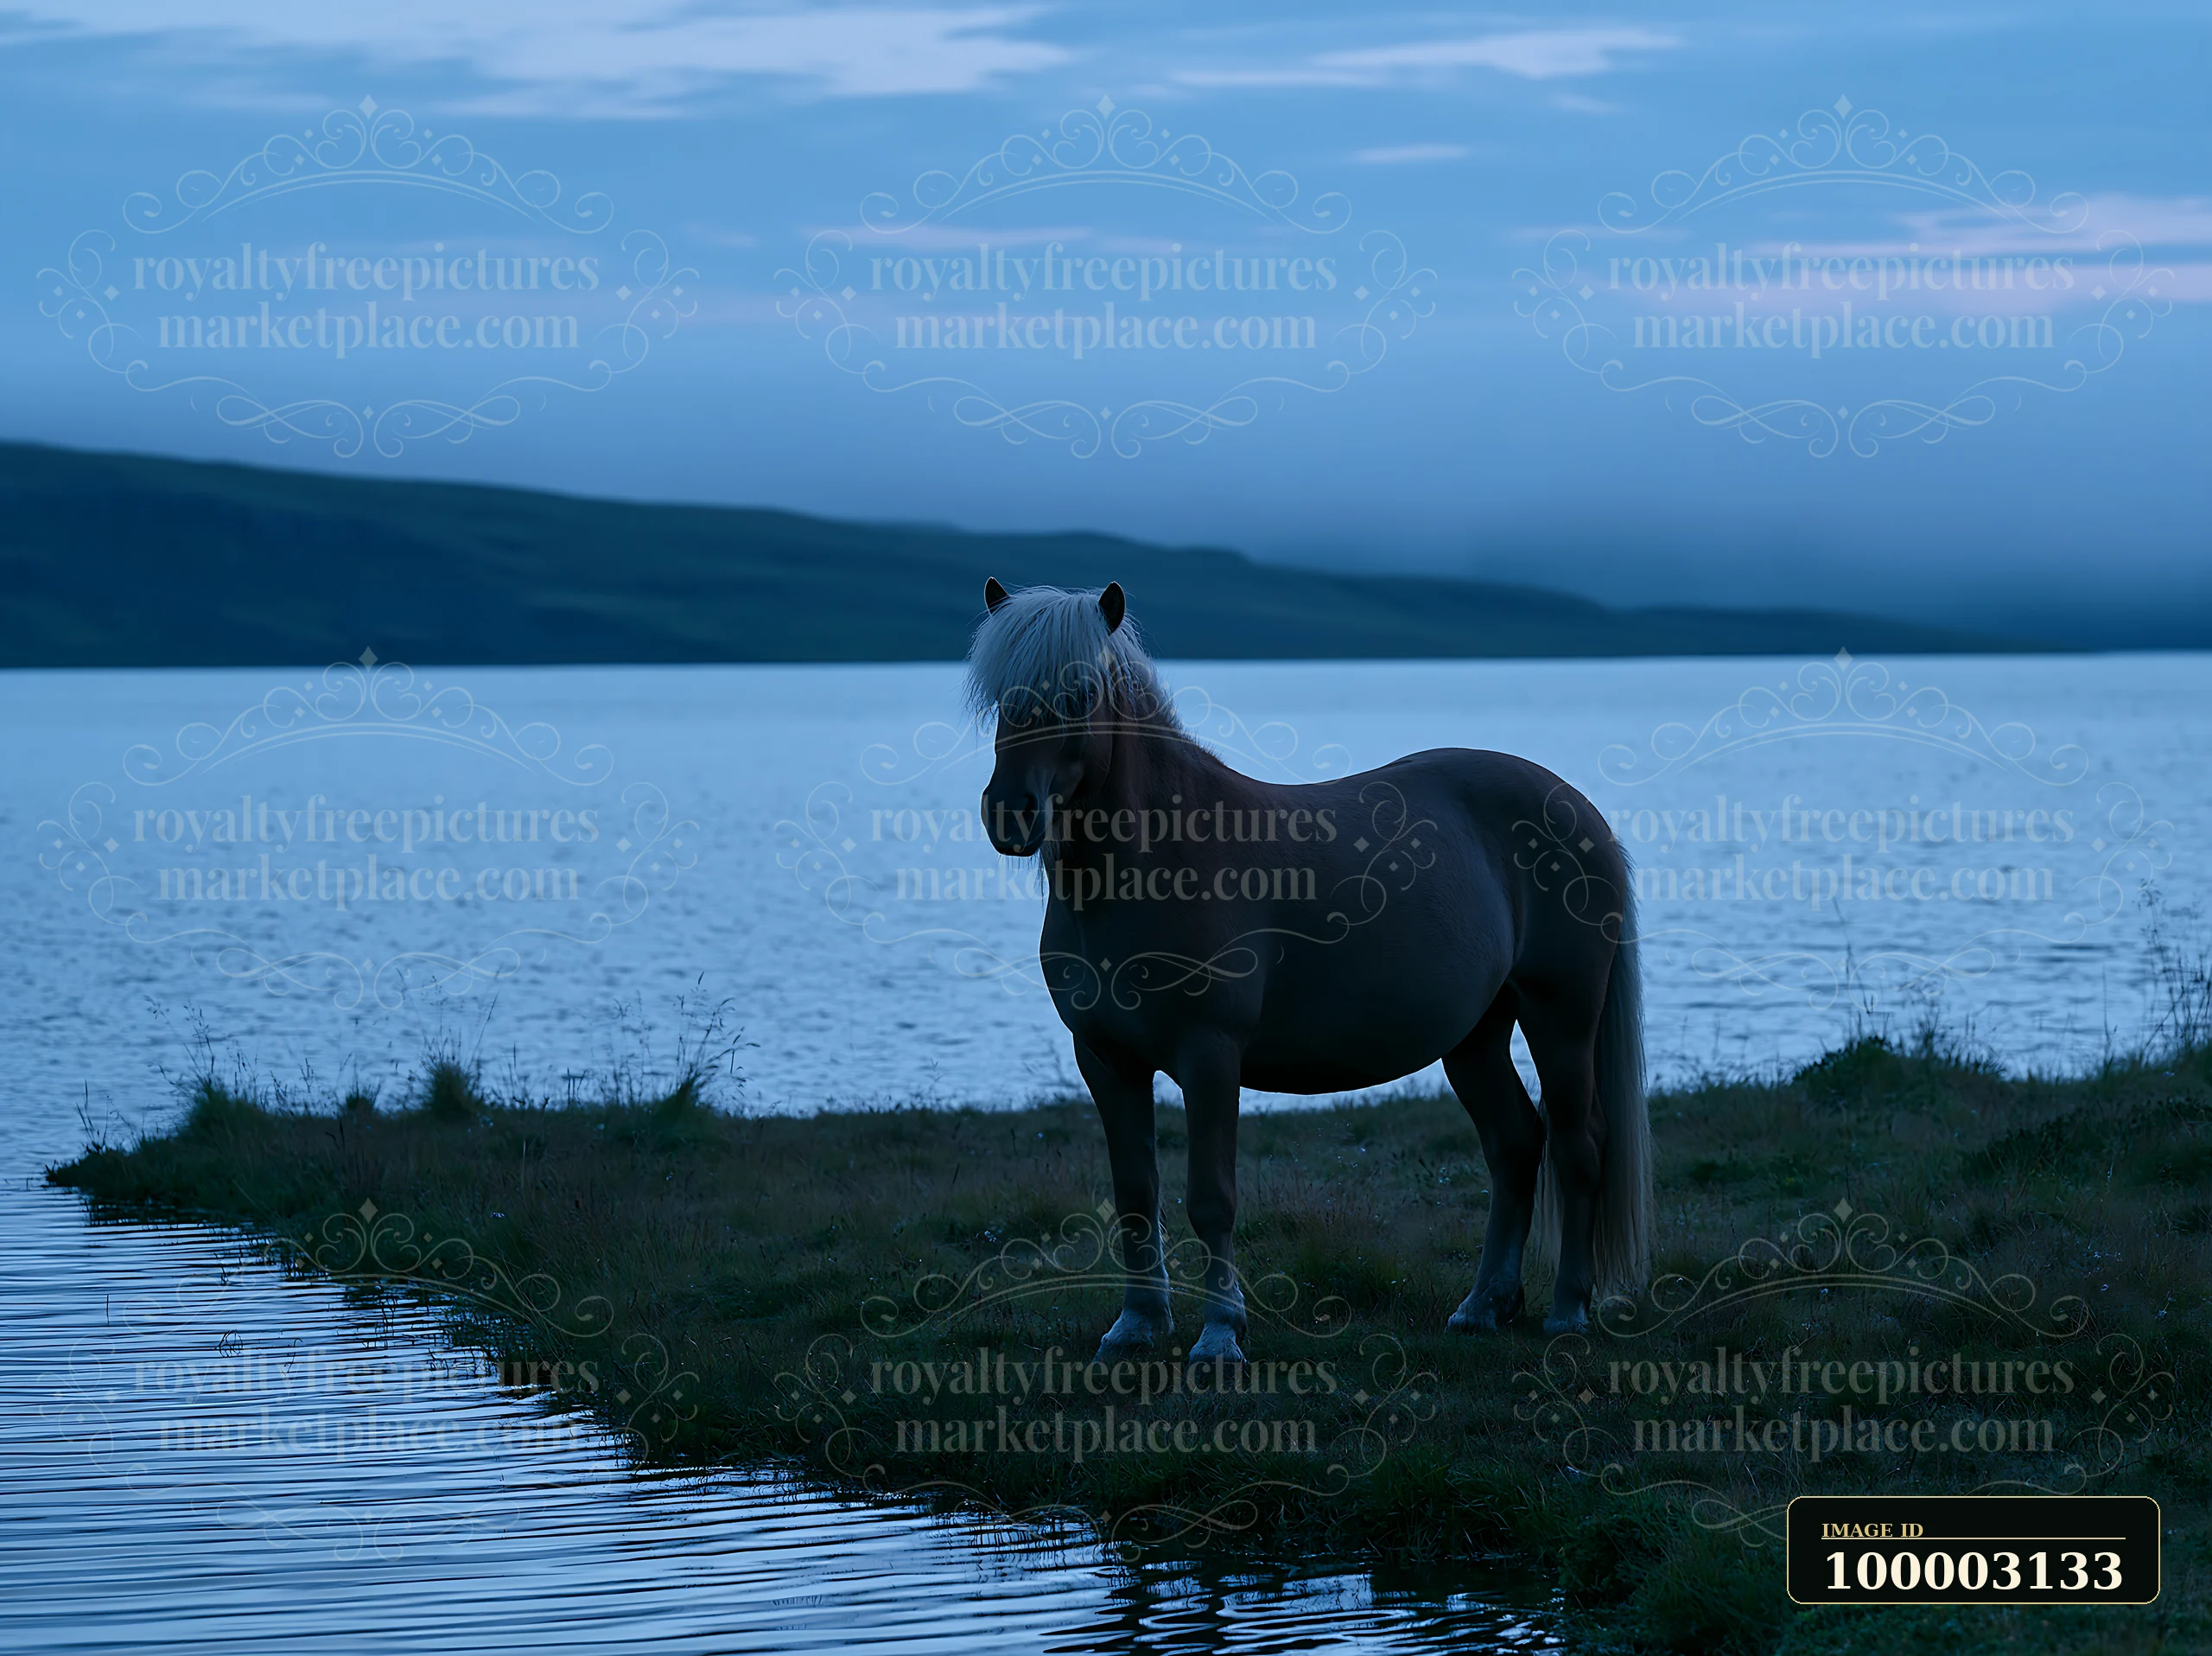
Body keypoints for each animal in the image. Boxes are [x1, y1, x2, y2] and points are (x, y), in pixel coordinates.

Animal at [969, 578, 1650, 1364]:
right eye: (998, 695)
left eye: (1079, 693)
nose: (1009, 814)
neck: (1153, 861)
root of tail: (1579, 808)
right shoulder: (1107, 1061)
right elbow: (1137, 1195)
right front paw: (1136, 1324)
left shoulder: (1210, 1057)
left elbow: (1211, 1196)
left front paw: (1220, 1335)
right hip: (1477, 1034)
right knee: (1515, 1145)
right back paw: (1483, 1305)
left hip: (1560, 1018)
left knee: (1578, 1146)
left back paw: (1569, 1308)